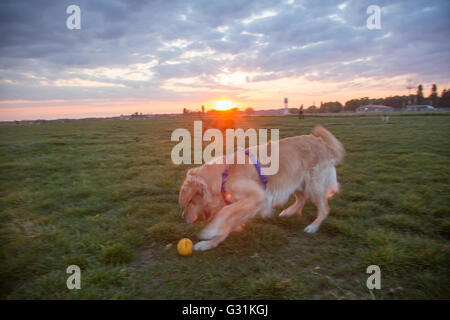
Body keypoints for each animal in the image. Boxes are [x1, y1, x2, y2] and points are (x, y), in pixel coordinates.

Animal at [179, 125, 344, 250]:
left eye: (190, 201)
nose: (183, 218)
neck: (225, 174)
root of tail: (323, 143)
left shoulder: (257, 197)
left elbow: (224, 212)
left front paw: (208, 232)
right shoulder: (246, 206)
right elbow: (226, 225)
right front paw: (207, 244)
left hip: (313, 185)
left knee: (324, 209)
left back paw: (313, 227)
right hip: (295, 181)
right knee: (302, 199)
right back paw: (288, 212)